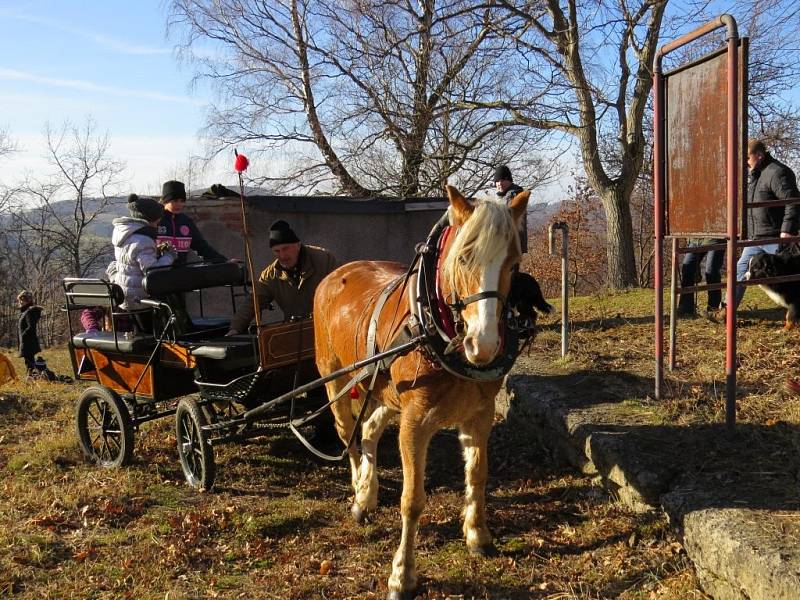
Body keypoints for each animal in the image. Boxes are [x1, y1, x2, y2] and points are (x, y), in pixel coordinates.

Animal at [314, 185, 532, 596]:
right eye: (463, 258)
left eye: (513, 264)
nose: (484, 344)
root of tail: (335, 274)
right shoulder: (415, 423)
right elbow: (412, 500)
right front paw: (402, 574)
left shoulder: (479, 414)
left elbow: (478, 474)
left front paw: (478, 535)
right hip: (333, 377)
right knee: (348, 434)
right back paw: (358, 488)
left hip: (383, 387)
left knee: (370, 429)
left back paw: (367, 492)